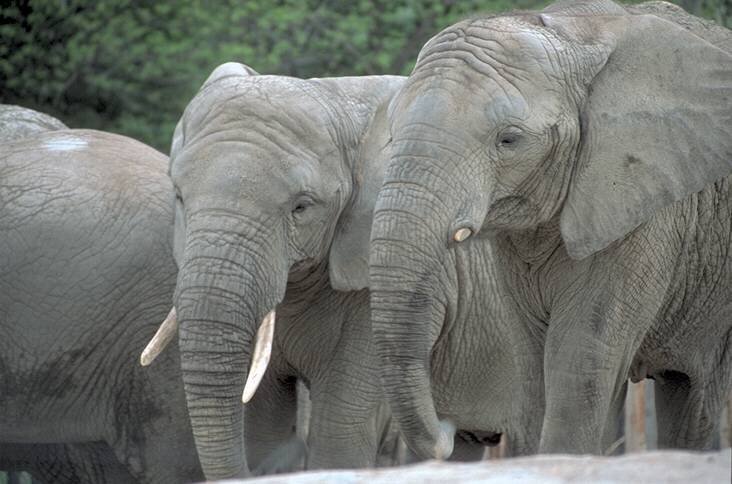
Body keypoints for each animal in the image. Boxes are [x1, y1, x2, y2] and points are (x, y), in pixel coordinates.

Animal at [369, 0, 732, 458]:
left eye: (508, 140)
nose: (451, 429)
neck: (574, 30)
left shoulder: (642, 210)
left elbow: (578, 359)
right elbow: (533, 363)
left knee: (695, 392)